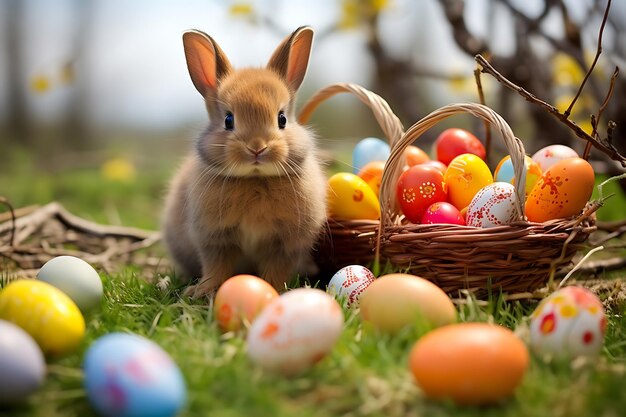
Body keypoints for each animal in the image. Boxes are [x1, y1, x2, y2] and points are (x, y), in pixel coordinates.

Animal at [161, 26, 326, 298]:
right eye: (229, 120)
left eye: (282, 119)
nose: (257, 147)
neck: (254, 179)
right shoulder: (215, 239)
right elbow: (216, 267)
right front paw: (201, 291)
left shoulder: (285, 244)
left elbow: (276, 269)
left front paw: (275, 290)